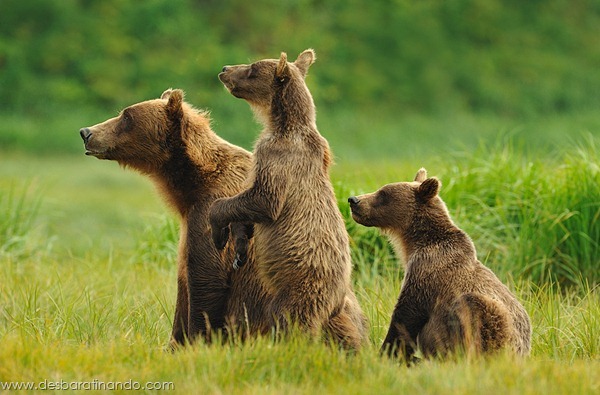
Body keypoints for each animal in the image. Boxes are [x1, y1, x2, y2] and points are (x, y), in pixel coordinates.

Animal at [78, 89, 270, 346]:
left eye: (126, 116)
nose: (86, 132)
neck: (191, 185)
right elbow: (183, 289)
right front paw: (175, 341)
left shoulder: (211, 213)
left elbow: (205, 281)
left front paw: (194, 341)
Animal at [211, 49, 370, 350]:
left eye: (251, 69)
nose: (224, 68)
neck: (281, 124)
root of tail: (336, 295)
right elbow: (247, 209)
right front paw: (239, 247)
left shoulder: (277, 159)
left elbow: (262, 200)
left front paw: (218, 231)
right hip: (340, 306)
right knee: (347, 329)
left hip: (300, 285)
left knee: (291, 319)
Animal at [346, 169, 528, 360]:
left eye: (383, 193)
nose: (354, 200)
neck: (414, 244)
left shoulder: (427, 271)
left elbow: (406, 316)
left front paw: (386, 352)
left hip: (498, 328)